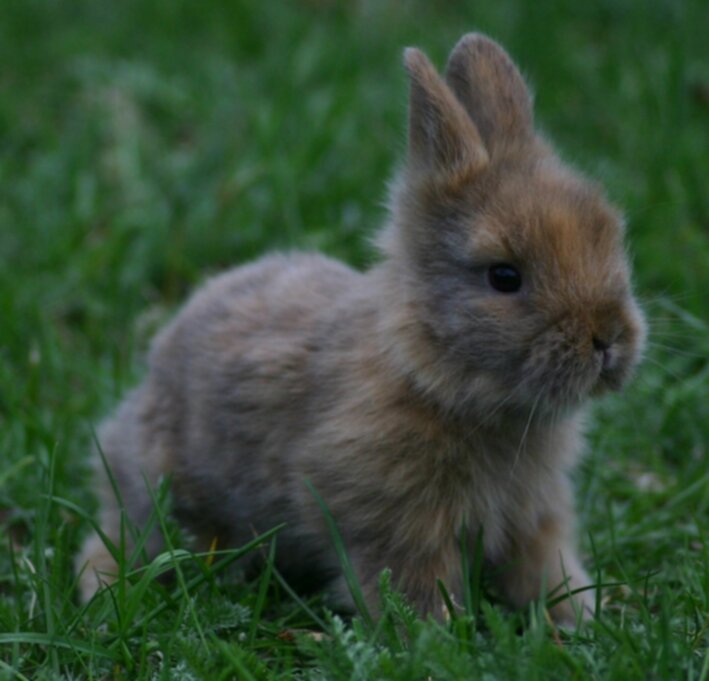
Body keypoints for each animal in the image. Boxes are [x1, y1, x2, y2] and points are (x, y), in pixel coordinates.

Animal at [74, 34, 644, 624]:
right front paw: (433, 635)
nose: (608, 339)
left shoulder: (535, 515)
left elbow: (545, 567)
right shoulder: (392, 522)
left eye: (606, 235)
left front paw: (577, 618)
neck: (429, 372)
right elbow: (411, 583)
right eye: (504, 277)